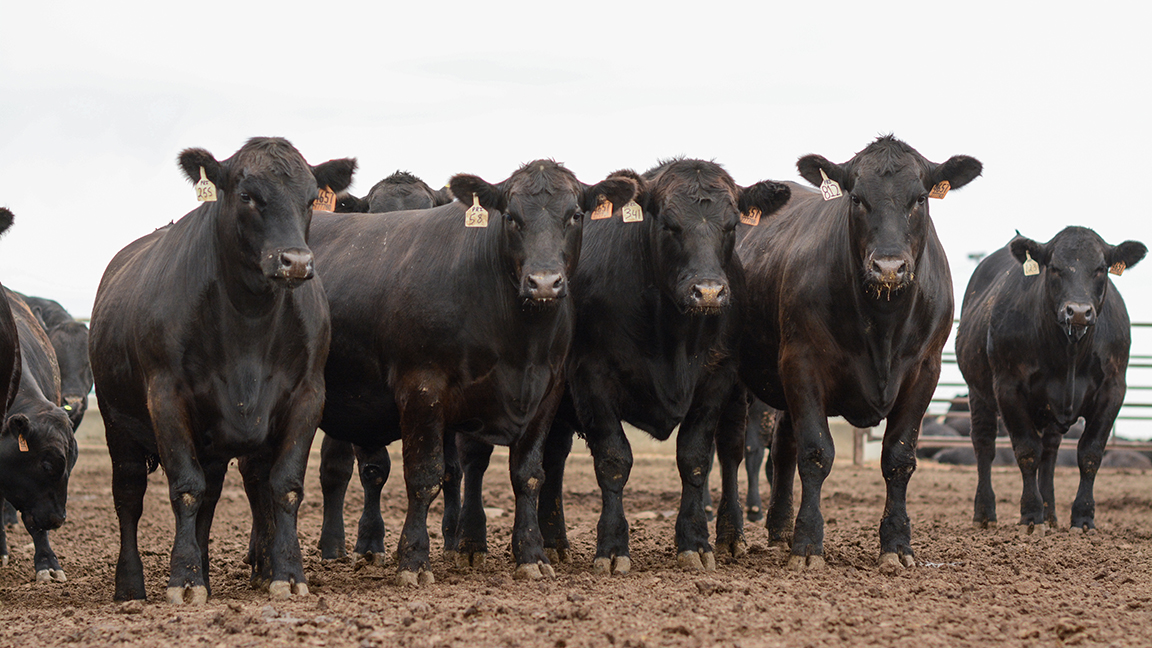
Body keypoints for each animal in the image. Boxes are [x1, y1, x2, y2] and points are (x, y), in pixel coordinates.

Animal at [89, 137, 355, 603]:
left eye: (310, 199)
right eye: (247, 195)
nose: (295, 262)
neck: (248, 323)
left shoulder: (307, 396)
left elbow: (284, 486)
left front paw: (288, 574)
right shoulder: (166, 398)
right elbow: (185, 490)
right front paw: (184, 579)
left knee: (210, 498)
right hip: (116, 423)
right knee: (129, 496)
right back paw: (131, 586)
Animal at [309, 160, 637, 586]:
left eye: (575, 215)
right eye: (511, 217)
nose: (544, 283)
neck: (519, 339)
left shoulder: (546, 394)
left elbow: (528, 475)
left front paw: (531, 555)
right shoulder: (422, 390)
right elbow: (424, 476)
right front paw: (414, 560)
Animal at [446, 160, 791, 576]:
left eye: (732, 225)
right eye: (669, 224)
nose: (708, 291)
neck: (673, 334)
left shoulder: (716, 380)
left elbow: (695, 459)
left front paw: (696, 542)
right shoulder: (593, 380)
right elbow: (614, 461)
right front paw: (612, 547)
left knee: (728, 452)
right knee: (476, 459)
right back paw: (471, 543)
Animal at [730, 135, 982, 570]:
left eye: (920, 198)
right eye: (857, 199)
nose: (889, 267)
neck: (882, 324)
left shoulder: (925, 371)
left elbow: (899, 458)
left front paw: (896, 545)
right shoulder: (803, 362)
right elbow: (816, 453)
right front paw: (808, 543)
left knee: (781, 447)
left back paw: (778, 529)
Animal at [955, 227, 1145, 534]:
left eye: (1101, 268)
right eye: (1054, 268)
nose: (1078, 311)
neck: (1069, 354)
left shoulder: (1113, 390)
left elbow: (1090, 453)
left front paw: (1083, 517)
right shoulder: (1008, 387)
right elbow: (1027, 451)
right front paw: (1031, 515)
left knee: (1051, 451)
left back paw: (1052, 513)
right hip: (978, 392)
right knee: (984, 445)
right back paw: (985, 513)